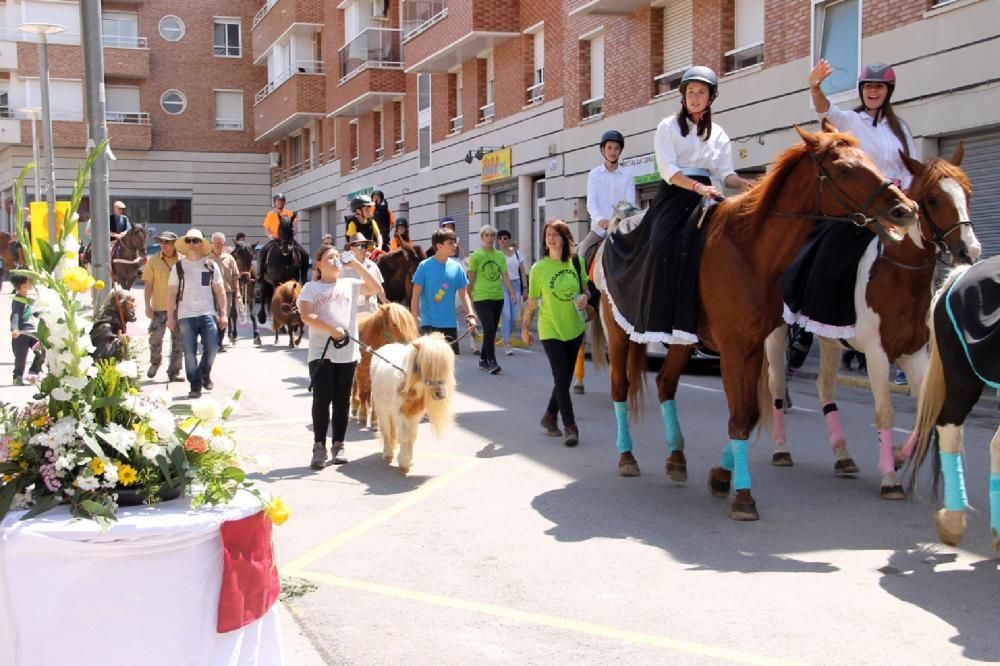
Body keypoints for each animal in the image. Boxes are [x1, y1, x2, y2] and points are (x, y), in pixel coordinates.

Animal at [372, 334, 458, 474]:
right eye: (428, 365)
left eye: (445, 367)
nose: (441, 394)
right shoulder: (401, 415)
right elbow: (404, 437)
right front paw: (404, 464)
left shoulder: (415, 416)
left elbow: (412, 437)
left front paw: (410, 461)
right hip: (382, 409)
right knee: (386, 430)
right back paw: (388, 454)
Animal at [588, 120, 916, 520]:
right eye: (846, 169)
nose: (905, 208)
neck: (749, 251)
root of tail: (616, 229)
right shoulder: (731, 350)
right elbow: (739, 418)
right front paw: (742, 496)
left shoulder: (753, 346)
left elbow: (752, 413)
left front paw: (720, 476)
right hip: (619, 334)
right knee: (620, 387)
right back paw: (627, 457)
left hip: (682, 341)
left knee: (666, 383)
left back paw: (677, 457)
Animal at [760, 147, 980, 498]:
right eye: (933, 199)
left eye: (967, 194)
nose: (970, 250)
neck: (898, 276)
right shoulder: (878, 354)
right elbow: (885, 411)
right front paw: (890, 477)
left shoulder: (914, 353)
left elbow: (925, 411)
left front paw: (899, 456)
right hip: (777, 332)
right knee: (777, 385)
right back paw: (781, 450)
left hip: (829, 338)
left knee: (825, 386)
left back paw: (842, 455)